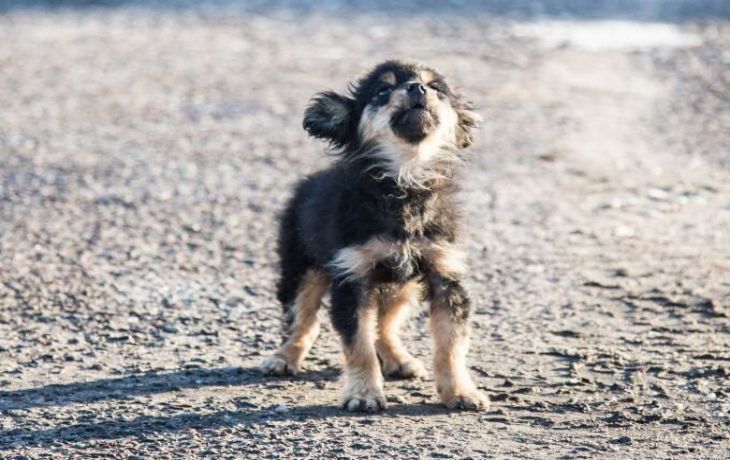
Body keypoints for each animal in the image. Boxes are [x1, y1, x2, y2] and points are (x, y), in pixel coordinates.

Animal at [258, 59, 486, 412]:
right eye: (382, 90)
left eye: (437, 89)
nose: (417, 88)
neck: (405, 178)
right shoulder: (354, 278)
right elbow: (359, 346)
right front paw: (364, 394)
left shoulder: (445, 274)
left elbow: (451, 344)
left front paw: (461, 392)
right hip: (303, 268)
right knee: (303, 321)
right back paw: (284, 357)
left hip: (402, 286)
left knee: (385, 325)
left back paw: (398, 359)